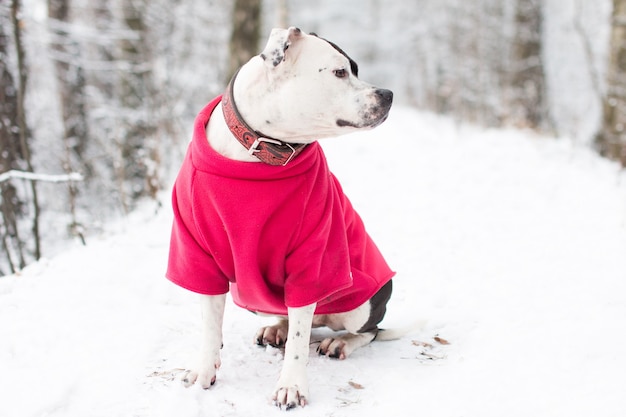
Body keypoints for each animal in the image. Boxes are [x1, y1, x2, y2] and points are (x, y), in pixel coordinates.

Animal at [163, 26, 392, 410]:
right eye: (340, 72)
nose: (388, 94)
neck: (259, 151)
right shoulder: (197, 253)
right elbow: (210, 325)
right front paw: (203, 371)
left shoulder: (312, 258)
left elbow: (299, 341)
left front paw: (292, 385)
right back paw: (276, 329)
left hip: (361, 304)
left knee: (368, 331)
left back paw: (339, 342)